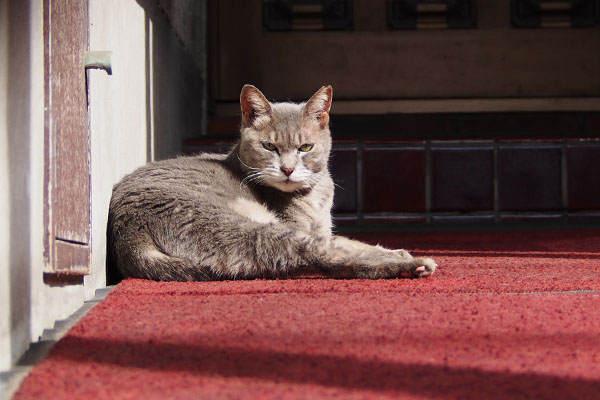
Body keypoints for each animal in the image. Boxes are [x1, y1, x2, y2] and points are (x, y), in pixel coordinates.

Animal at [108, 85, 436, 280]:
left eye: (305, 147)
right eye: (269, 146)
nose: (288, 169)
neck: (315, 196)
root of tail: (129, 234)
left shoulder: (323, 229)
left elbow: (351, 241)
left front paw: (390, 248)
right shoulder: (300, 227)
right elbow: (342, 247)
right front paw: (398, 254)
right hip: (239, 226)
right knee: (321, 257)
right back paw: (412, 264)